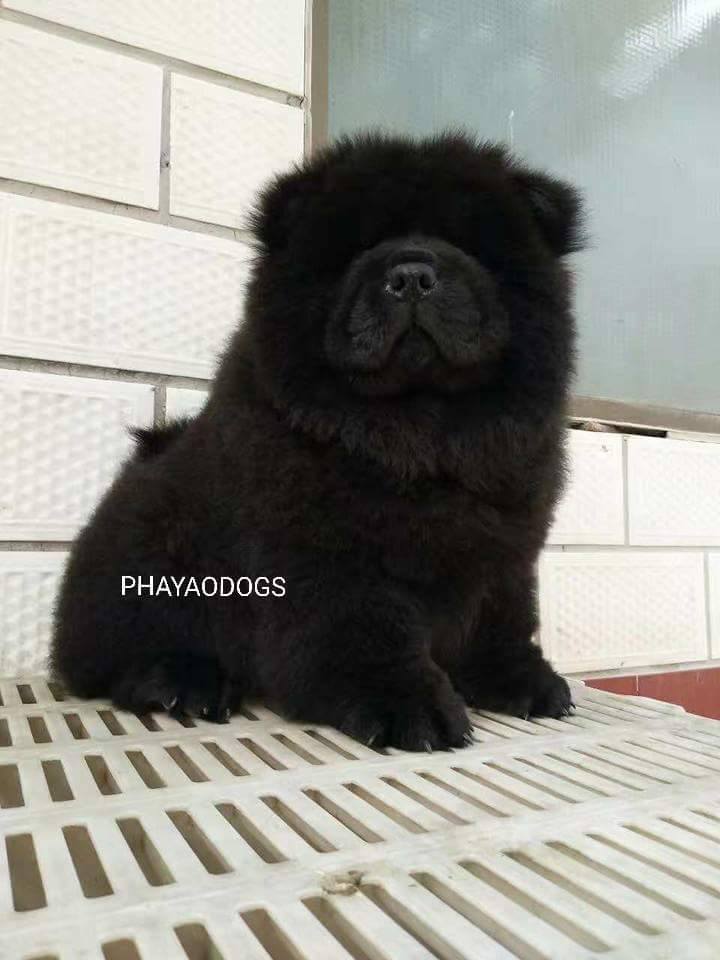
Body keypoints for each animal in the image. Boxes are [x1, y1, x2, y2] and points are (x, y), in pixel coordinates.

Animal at [51, 132, 583, 750]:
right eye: (357, 251)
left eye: (465, 245)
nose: (411, 275)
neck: (421, 433)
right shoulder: (327, 554)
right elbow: (366, 631)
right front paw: (409, 706)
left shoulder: (503, 547)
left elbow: (502, 618)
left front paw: (523, 681)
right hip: (145, 556)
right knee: (116, 652)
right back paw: (181, 680)